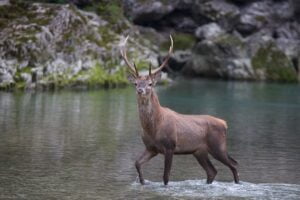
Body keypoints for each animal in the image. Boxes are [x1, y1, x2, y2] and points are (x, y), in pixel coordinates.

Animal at [119, 35, 239, 186]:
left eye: (150, 84)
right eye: (136, 83)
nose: (140, 90)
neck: (153, 127)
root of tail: (224, 123)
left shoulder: (170, 146)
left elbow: (166, 177)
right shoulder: (151, 148)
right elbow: (137, 163)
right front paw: (142, 181)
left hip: (218, 145)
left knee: (234, 164)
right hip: (199, 151)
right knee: (212, 171)